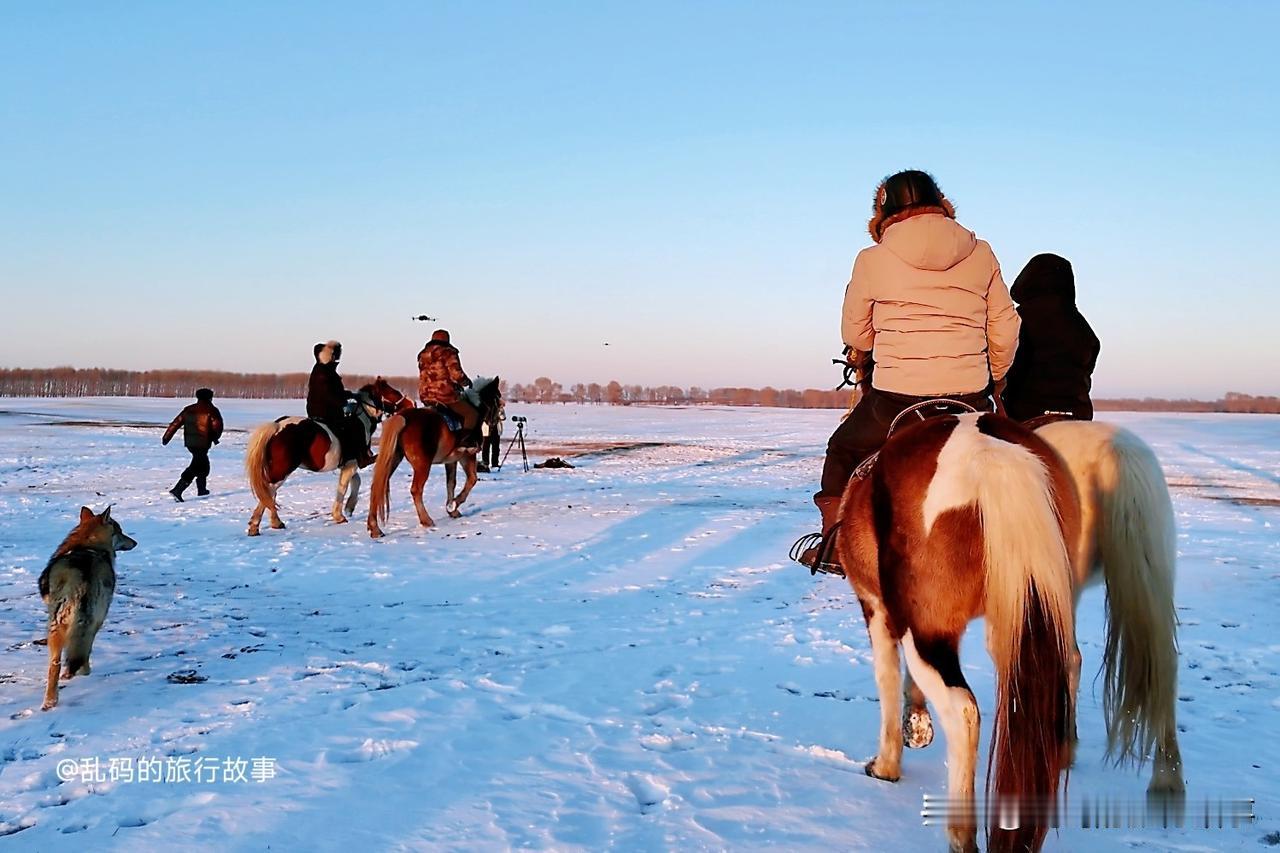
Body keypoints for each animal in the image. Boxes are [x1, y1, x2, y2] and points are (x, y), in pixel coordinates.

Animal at [244, 378, 413, 536]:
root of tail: (278, 426)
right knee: (268, 491)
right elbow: (343, 487)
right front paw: (340, 515)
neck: (361, 421)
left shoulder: (349, 463)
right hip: (282, 470)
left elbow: (355, 482)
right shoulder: (357, 462)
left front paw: (349, 508)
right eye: (392, 392)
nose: (411, 404)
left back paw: (272, 522)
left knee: (269, 493)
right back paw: (260, 525)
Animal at [367, 376, 502, 539]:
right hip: (423, 465)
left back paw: (374, 528)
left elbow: (451, 483)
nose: (495, 422)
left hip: (393, 459)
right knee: (416, 490)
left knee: (377, 486)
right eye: (498, 398)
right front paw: (454, 504)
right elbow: (472, 479)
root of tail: (403, 417)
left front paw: (452, 509)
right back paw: (426, 520)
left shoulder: (451, 460)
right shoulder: (467, 455)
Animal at [835, 412, 1080, 853]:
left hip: (926, 630)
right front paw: (916, 725)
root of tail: (989, 453)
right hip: (1028, 612)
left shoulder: (877, 609)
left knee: (963, 712)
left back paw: (961, 834)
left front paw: (887, 764)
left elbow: (886, 678)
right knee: (1066, 665)